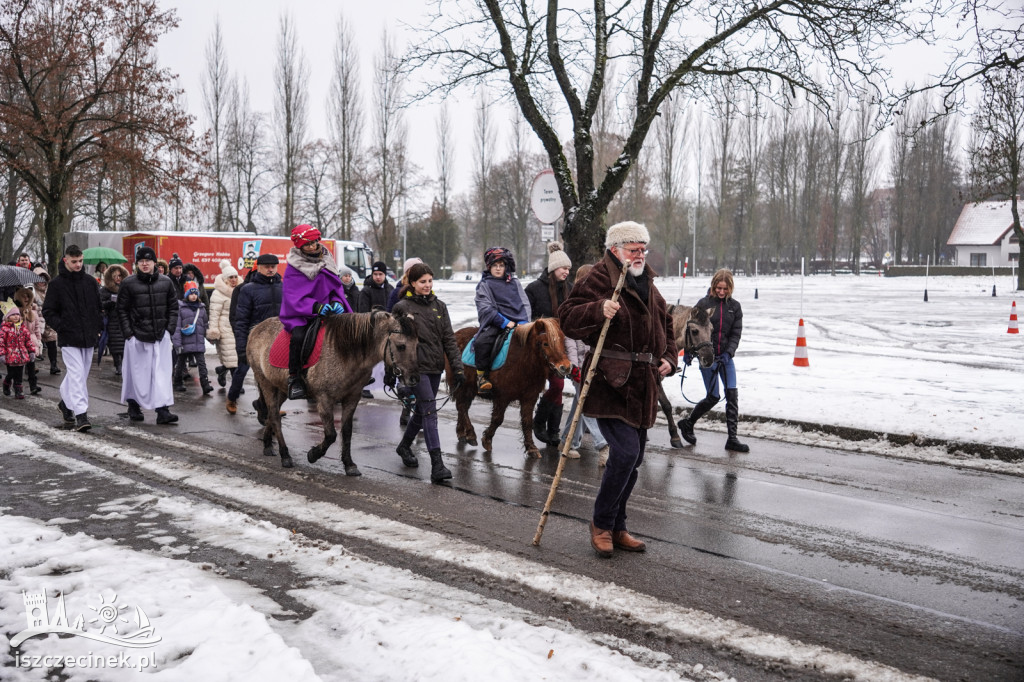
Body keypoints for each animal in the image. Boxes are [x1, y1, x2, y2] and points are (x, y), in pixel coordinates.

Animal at [245, 311, 417, 471]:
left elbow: (346, 431)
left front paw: (349, 464)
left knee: (272, 414)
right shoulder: (324, 399)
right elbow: (331, 434)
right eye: (401, 346)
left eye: (417, 344)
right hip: (265, 382)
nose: (414, 379)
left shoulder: (352, 397)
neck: (345, 353)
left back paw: (268, 445)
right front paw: (313, 454)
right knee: (274, 416)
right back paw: (285, 455)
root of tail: (256, 328)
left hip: (280, 388)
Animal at [450, 317, 577, 456]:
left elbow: (527, 422)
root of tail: (457, 333)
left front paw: (531, 448)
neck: (523, 361)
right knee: (461, 406)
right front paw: (487, 440)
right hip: (463, 386)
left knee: (463, 407)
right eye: (545, 343)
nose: (566, 367)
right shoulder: (502, 397)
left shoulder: (529, 397)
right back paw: (471, 434)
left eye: (562, 340)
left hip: (469, 389)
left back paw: (462, 434)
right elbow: (497, 419)